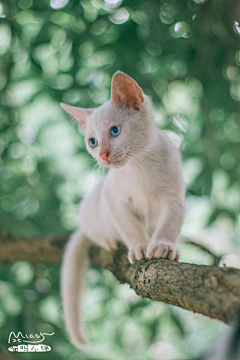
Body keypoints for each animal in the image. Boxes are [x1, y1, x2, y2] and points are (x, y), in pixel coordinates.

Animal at [60, 71, 186, 350]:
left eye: (115, 131)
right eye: (92, 142)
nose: (103, 155)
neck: (141, 165)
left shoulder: (176, 197)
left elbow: (171, 221)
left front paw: (164, 245)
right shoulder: (112, 198)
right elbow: (130, 225)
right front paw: (139, 246)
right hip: (91, 209)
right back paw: (109, 240)